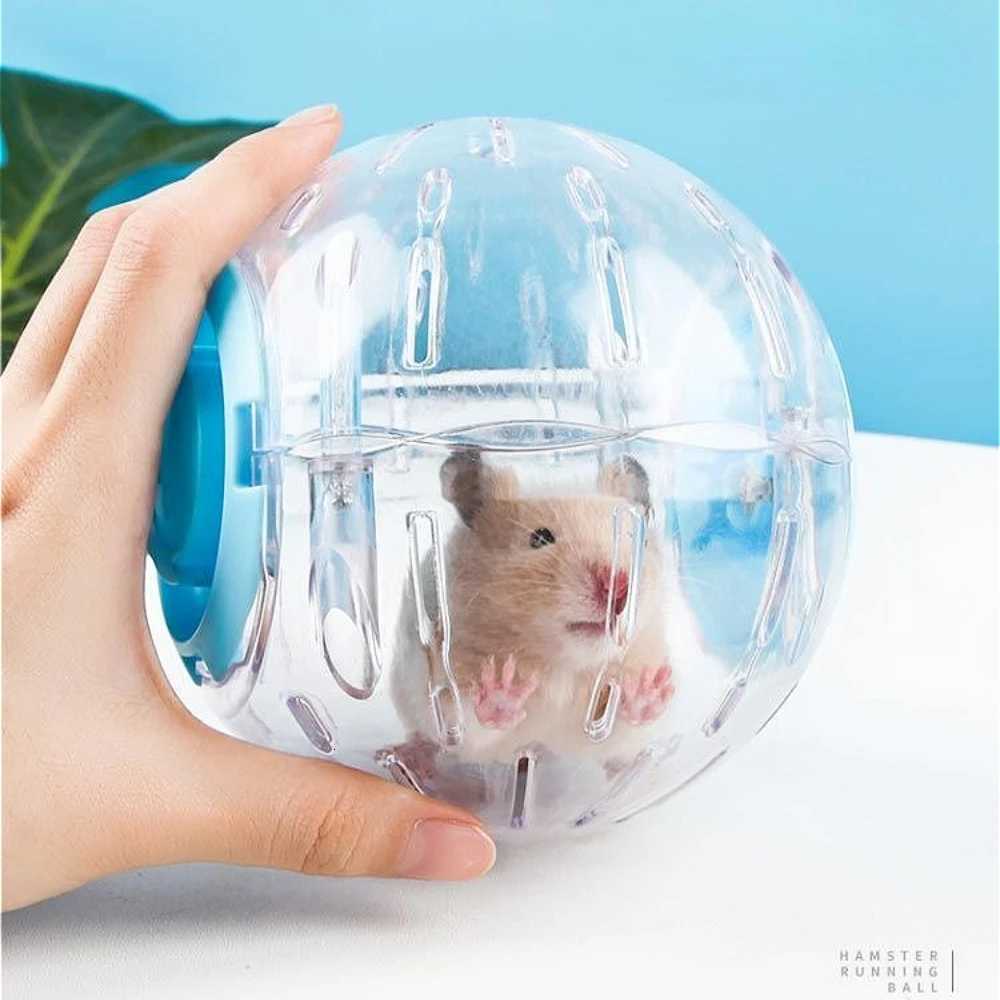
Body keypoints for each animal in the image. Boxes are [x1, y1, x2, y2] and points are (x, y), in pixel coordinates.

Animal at [390, 451, 724, 766]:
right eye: (540, 538)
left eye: (633, 536)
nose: (618, 588)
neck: (563, 665)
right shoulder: (441, 676)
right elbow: (465, 720)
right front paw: (502, 686)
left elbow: (624, 730)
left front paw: (647, 689)